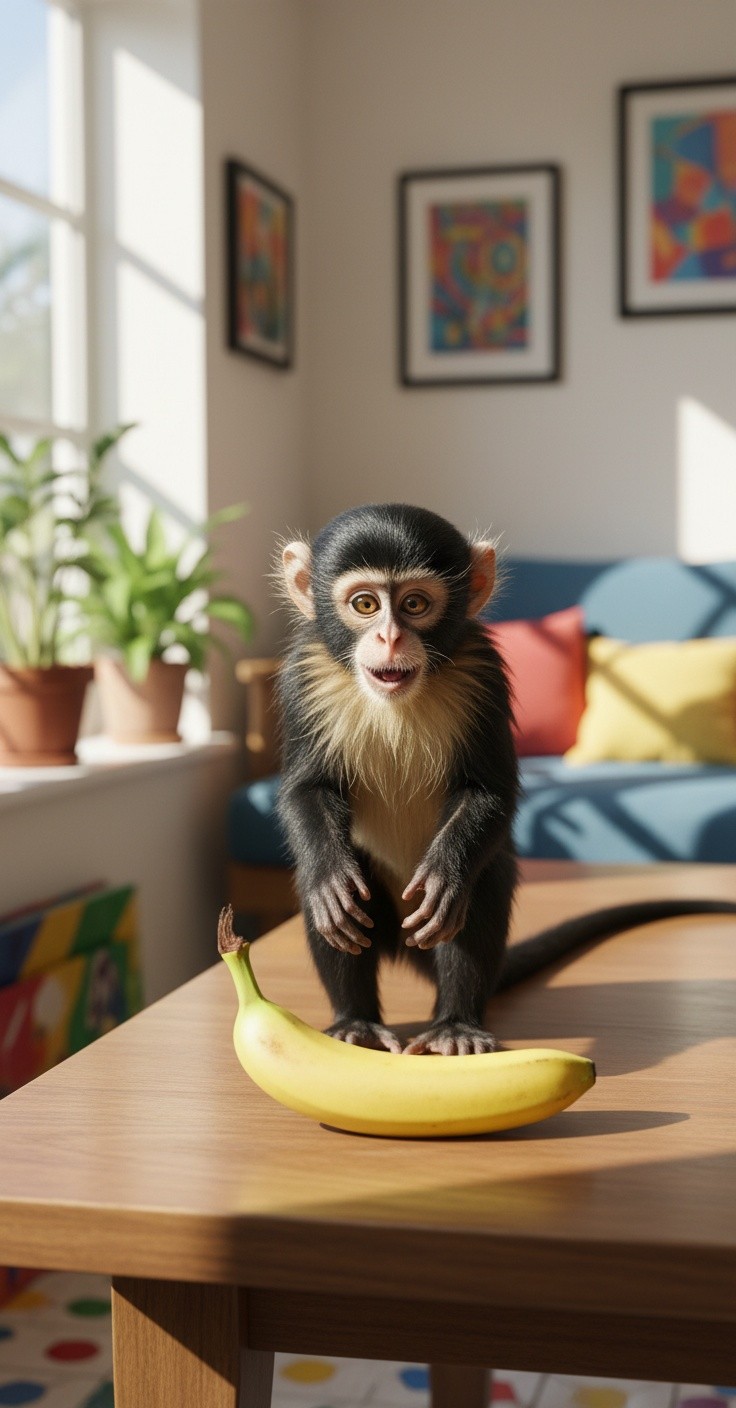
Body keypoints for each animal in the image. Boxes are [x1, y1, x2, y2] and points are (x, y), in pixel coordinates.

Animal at [276, 503, 736, 1056]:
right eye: (365, 604)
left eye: (413, 603)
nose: (390, 637)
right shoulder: (305, 673)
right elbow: (305, 791)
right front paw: (328, 875)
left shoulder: (484, 671)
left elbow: (491, 790)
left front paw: (447, 873)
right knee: (341, 904)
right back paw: (355, 1020)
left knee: (479, 889)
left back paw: (455, 1023)